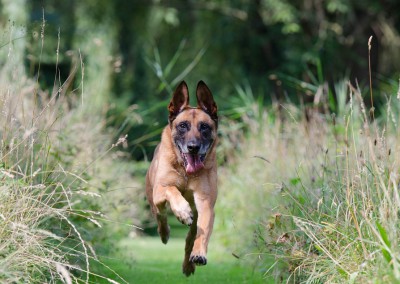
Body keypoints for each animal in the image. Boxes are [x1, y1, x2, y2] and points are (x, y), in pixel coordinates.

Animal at [145, 81, 217, 276]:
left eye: (204, 127)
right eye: (183, 125)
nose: (193, 147)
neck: (186, 172)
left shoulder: (205, 203)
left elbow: (202, 233)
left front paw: (199, 254)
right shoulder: (161, 188)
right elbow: (172, 189)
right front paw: (183, 211)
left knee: (190, 237)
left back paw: (188, 264)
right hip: (153, 198)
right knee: (160, 216)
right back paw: (165, 233)